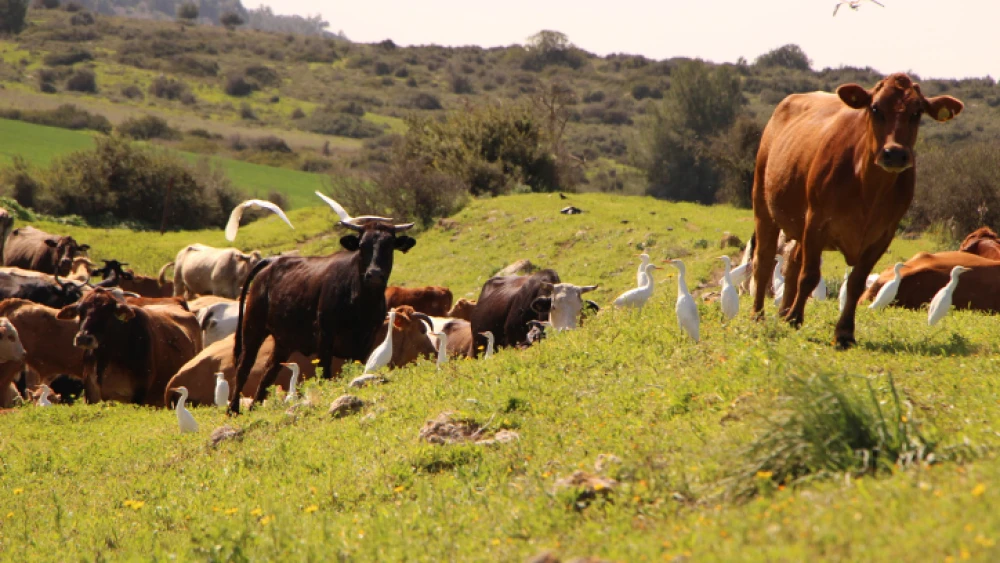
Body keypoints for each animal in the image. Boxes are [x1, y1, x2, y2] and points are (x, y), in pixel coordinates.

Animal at [230, 220, 417, 413]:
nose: (374, 274)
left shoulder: (365, 341)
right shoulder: (325, 337)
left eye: (389, 245)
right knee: (243, 367)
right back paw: (233, 410)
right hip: (252, 326)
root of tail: (272, 261)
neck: (361, 302)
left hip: (284, 341)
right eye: (362, 245)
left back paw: (254, 407)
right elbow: (326, 372)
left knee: (268, 371)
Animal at [750, 73, 964, 348]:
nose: (895, 154)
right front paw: (797, 319)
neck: (867, 187)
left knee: (793, 261)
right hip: (764, 207)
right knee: (764, 261)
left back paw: (784, 312)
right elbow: (809, 275)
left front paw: (844, 333)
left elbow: (856, 283)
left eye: (917, 112)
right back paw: (760, 315)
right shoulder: (817, 221)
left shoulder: (882, 235)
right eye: (875, 108)